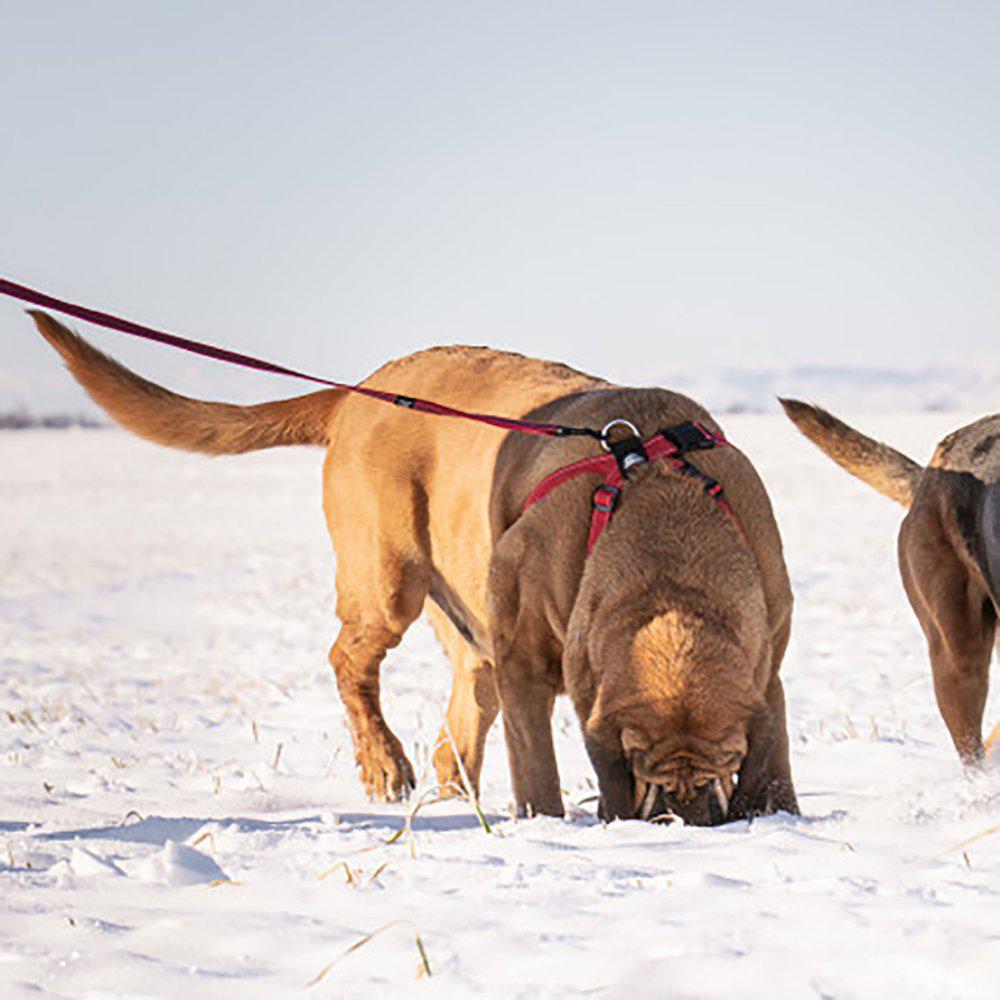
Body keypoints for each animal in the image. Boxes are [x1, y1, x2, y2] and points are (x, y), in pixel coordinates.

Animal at [29, 310, 796, 820]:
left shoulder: (769, 660)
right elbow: (536, 765)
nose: (683, 820)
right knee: (348, 660)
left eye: (724, 767)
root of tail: (361, 389)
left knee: (456, 719)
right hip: (387, 578)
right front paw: (548, 823)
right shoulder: (526, 658)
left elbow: (776, 744)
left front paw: (778, 812)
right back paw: (383, 765)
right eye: (640, 767)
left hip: (462, 625)